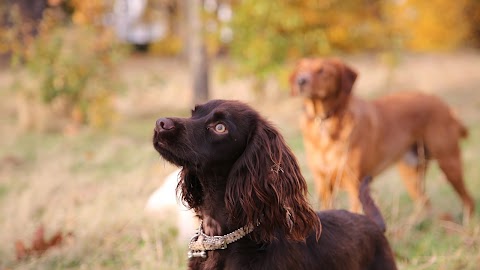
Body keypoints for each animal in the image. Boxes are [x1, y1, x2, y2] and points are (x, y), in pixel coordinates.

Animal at [290, 57, 474, 219]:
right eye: (301, 70)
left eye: (322, 71)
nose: (301, 81)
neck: (325, 120)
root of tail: (444, 104)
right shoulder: (323, 185)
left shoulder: (355, 184)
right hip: (411, 175)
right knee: (425, 202)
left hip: (449, 163)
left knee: (468, 200)